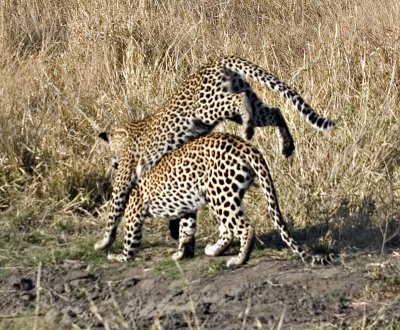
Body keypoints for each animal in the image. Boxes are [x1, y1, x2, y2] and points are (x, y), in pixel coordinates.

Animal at [95, 57, 336, 253]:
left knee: (240, 100)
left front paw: (104, 241)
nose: (113, 163)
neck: (124, 133)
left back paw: (248, 129)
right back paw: (285, 144)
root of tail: (216, 61)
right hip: (242, 100)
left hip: (208, 107)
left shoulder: (125, 176)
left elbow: (114, 208)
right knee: (274, 111)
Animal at [98, 131, 336, 268]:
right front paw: (181, 253)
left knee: (245, 228)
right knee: (229, 230)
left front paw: (118, 257)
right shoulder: (187, 207)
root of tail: (245, 145)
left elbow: (130, 241)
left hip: (219, 194)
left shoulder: (134, 212)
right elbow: (186, 230)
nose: (112, 164)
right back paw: (215, 250)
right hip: (225, 194)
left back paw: (238, 260)